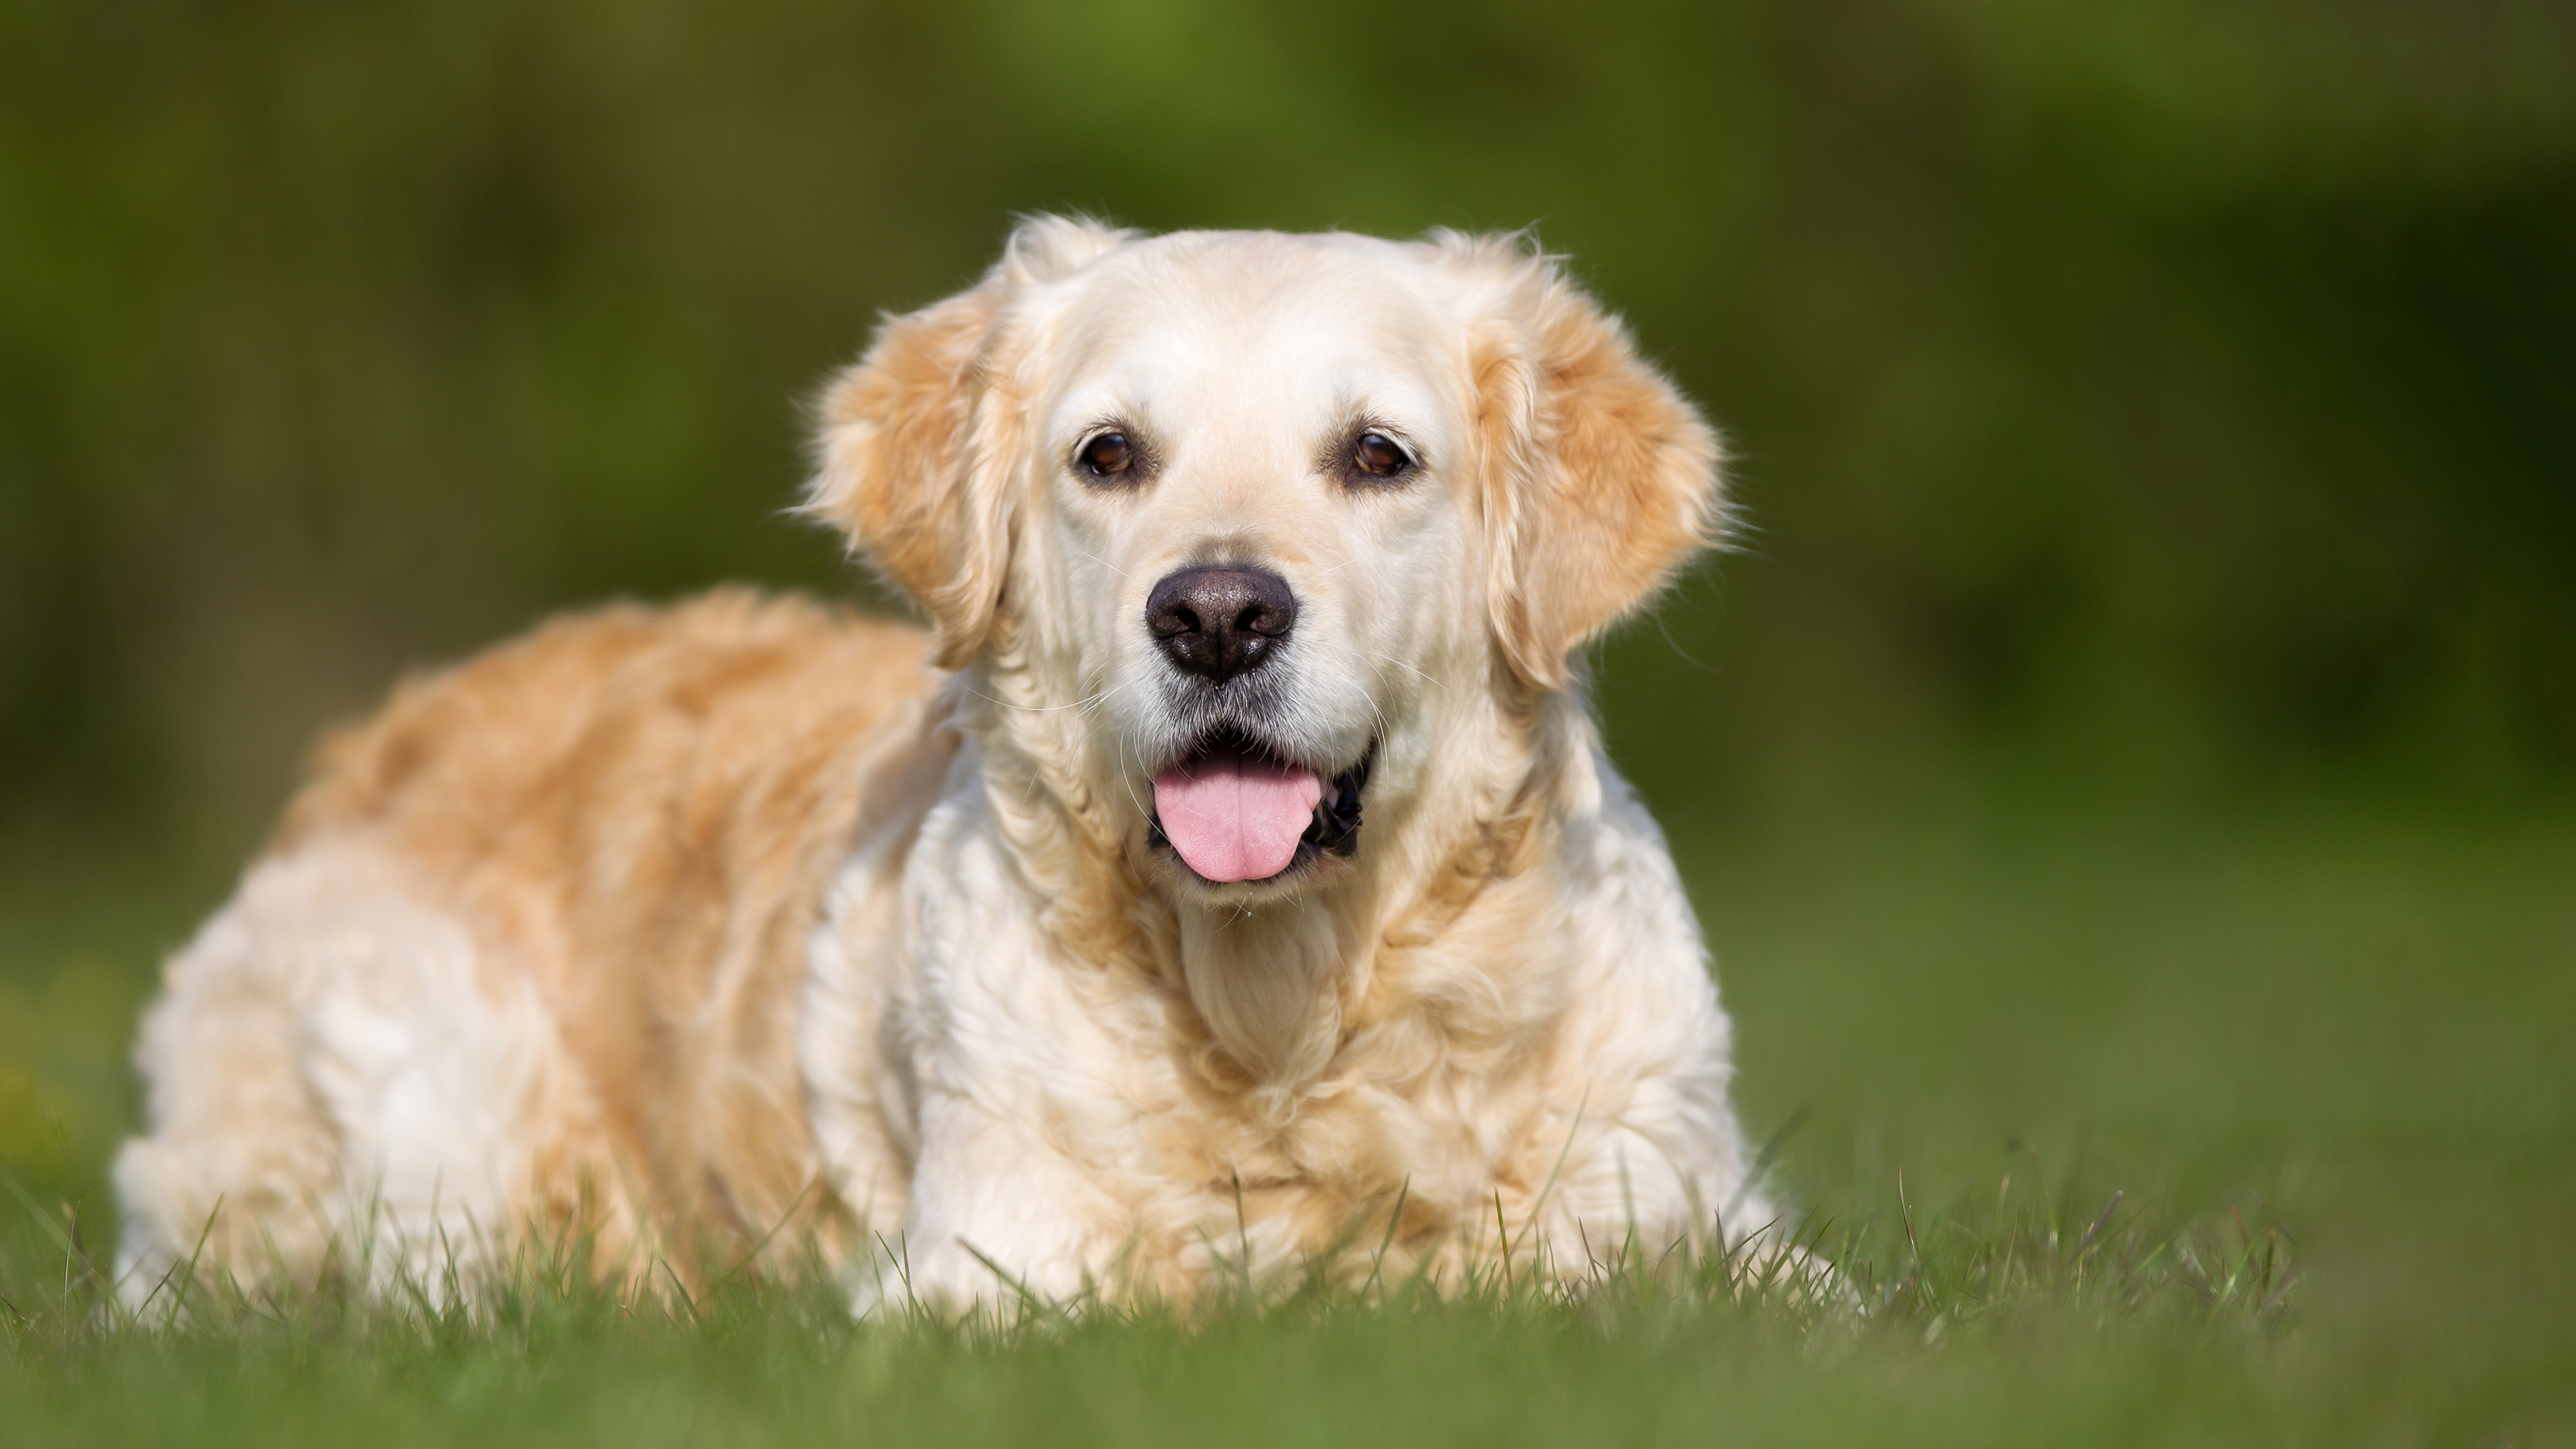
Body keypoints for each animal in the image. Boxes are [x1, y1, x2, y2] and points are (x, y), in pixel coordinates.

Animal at [116, 217, 1772, 1310]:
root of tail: (376, 739)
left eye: (1378, 455)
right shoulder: (996, 1262)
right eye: (1110, 455)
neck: (1281, 1018)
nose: (1216, 616)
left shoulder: (1695, 1213)